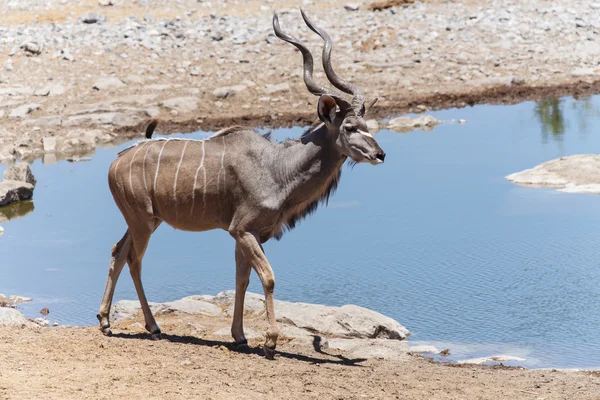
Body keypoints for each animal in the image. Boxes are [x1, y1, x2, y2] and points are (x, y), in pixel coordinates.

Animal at [96, 10, 386, 360]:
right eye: (350, 127)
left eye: (366, 124)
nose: (380, 154)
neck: (278, 168)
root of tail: (115, 162)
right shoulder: (243, 229)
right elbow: (268, 278)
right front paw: (270, 342)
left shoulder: (249, 234)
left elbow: (242, 279)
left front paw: (241, 336)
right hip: (142, 221)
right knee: (134, 259)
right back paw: (150, 327)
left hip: (147, 220)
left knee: (118, 251)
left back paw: (107, 322)